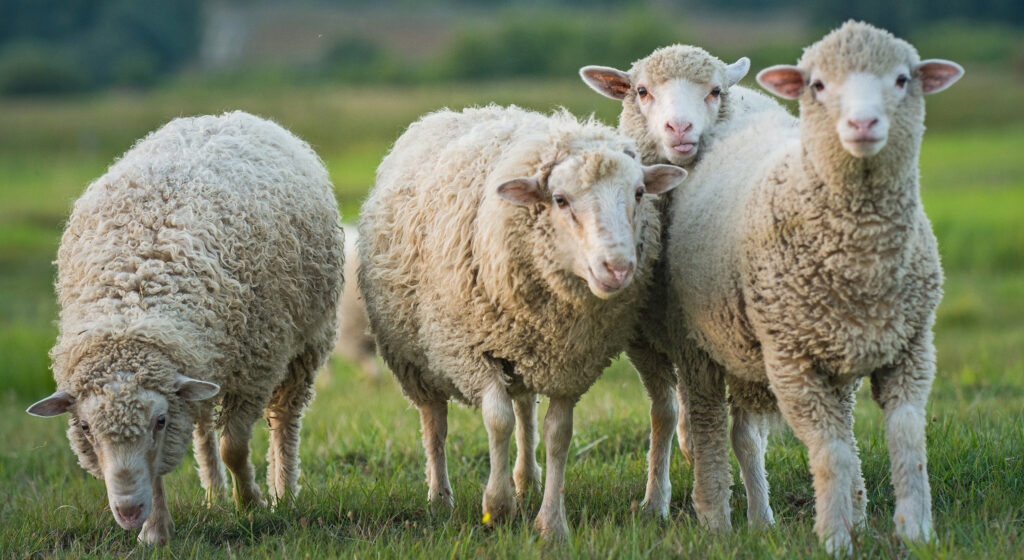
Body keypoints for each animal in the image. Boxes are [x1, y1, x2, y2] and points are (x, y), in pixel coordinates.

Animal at [26, 111, 344, 545]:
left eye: (159, 421)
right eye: (86, 427)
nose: (128, 512)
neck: (132, 306)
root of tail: (226, 116)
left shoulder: (255, 368)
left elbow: (235, 448)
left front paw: (252, 503)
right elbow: (160, 469)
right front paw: (156, 532)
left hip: (304, 344)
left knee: (284, 420)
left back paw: (283, 492)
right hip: (202, 361)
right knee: (202, 428)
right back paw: (214, 495)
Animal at [358, 104, 686, 537]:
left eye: (638, 193)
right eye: (560, 200)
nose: (617, 268)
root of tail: (458, 111)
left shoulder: (569, 363)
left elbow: (558, 434)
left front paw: (551, 523)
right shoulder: (469, 349)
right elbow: (496, 421)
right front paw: (497, 507)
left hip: (522, 347)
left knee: (525, 405)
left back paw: (527, 479)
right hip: (413, 355)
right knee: (435, 424)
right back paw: (440, 497)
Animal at [580, 44, 786, 521]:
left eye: (715, 91)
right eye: (641, 91)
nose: (680, 128)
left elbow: (745, 435)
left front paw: (761, 516)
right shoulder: (643, 340)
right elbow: (664, 415)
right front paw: (655, 502)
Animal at [653, 21, 962, 554]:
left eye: (903, 79)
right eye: (817, 85)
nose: (863, 123)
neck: (862, 257)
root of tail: (747, 100)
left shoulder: (911, 349)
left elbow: (907, 440)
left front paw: (916, 532)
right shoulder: (792, 362)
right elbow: (829, 451)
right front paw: (835, 539)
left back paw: (856, 508)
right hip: (697, 343)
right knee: (708, 423)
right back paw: (715, 519)